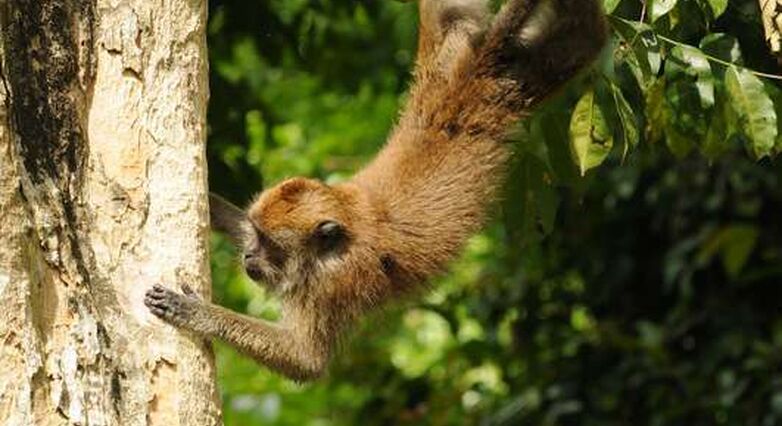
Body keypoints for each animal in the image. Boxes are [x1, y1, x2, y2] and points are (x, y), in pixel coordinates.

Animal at [149, 0, 612, 382]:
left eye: (271, 246)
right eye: (256, 236)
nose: (248, 256)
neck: (340, 230)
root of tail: (471, 80)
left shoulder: (332, 282)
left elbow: (304, 361)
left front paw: (195, 313)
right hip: (455, 60)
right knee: (563, 35)